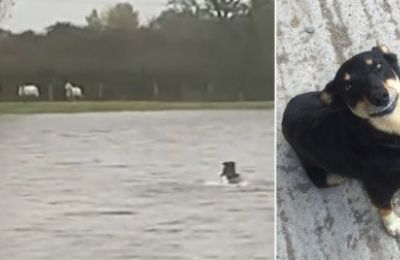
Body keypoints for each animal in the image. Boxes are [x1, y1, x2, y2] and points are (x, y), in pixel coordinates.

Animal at [282, 44, 400, 238]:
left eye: (378, 66)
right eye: (348, 86)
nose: (380, 97)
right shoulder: (378, 187)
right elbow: (384, 208)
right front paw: (393, 225)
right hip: (327, 176)